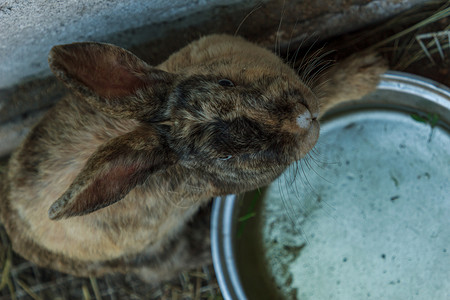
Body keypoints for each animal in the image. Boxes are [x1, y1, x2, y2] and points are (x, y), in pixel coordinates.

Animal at [0, 34, 386, 282]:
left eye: (227, 82)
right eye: (227, 157)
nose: (301, 118)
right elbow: (327, 91)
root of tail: (15, 230)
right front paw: (366, 73)